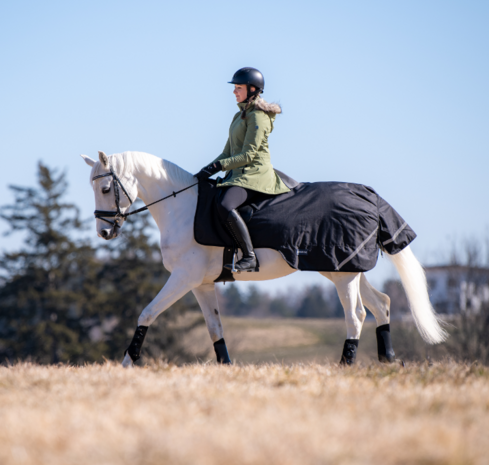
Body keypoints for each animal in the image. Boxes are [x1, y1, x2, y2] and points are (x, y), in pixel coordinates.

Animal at [82, 150, 448, 366]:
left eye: (105, 189)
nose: (104, 232)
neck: (182, 206)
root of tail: (368, 194)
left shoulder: (184, 278)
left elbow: (147, 313)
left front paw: (127, 363)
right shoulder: (201, 284)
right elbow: (215, 328)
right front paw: (226, 368)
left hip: (342, 275)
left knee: (356, 314)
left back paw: (346, 366)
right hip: (347, 268)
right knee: (382, 304)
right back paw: (388, 361)